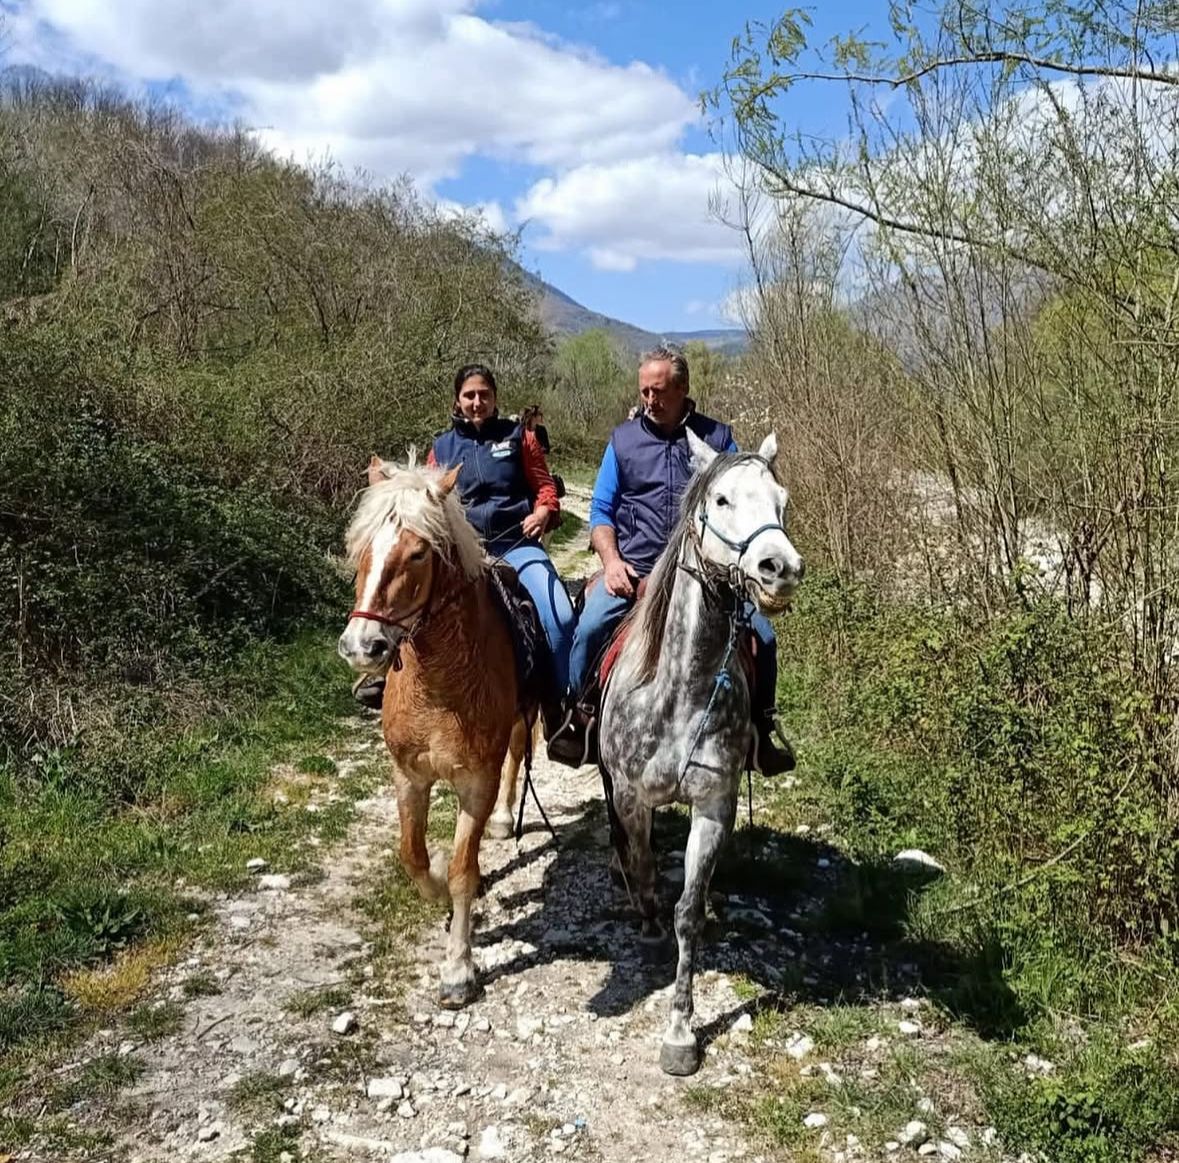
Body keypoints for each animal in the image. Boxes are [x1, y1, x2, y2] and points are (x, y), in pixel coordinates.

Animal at [337, 455, 529, 1007]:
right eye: (361, 546)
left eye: (418, 553)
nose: (362, 646)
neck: (440, 684)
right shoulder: (409, 776)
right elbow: (413, 856)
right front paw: (438, 889)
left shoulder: (476, 783)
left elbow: (465, 870)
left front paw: (458, 969)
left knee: (518, 754)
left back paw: (506, 818)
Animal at [597, 430, 804, 1076]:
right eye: (720, 499)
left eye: (781, 501)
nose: (780, 569)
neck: (680, 691)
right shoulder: (632, 796)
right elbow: (642, 868)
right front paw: (646, 923)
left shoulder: (714, 804)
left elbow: (687, 910)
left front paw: (681, 1032)